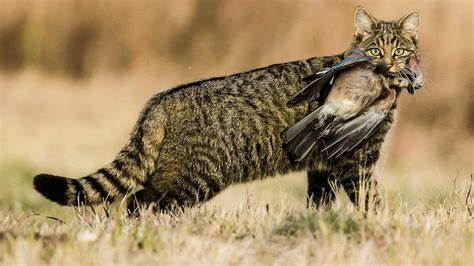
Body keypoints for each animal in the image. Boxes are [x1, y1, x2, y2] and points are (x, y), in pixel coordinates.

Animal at [33, 6, 422, 212]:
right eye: (375, 50)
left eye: (400, 51)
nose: (388, 65)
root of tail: (159, 99)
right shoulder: (357, 163)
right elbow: (371, 201)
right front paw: (380, 225)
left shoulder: (322, 168)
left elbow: (320, 204)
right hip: (196, 178)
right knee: (143, 201)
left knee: (135, 199)